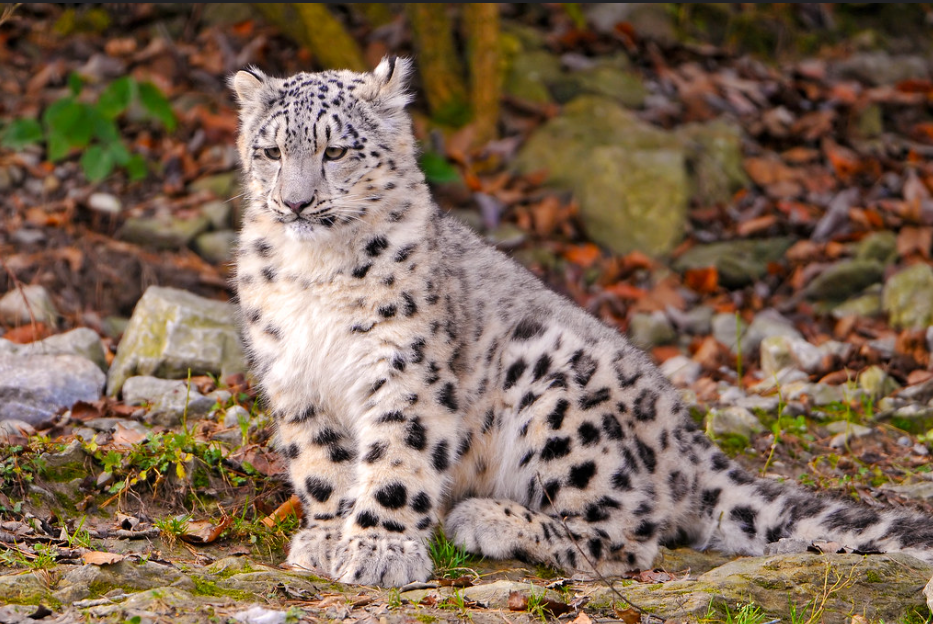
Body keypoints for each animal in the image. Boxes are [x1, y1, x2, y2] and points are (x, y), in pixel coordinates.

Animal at [231, 57, 933, 588]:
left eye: (335, 150)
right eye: (270, 151)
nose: (294, 201)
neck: (316, 275)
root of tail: (685, 435)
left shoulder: (405, 371)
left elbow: (397, 462)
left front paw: (379, 552)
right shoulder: (295, 376)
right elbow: (321, 464)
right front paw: (327, 537)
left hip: (554, 390)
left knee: (630, 533)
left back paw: (486, 520)